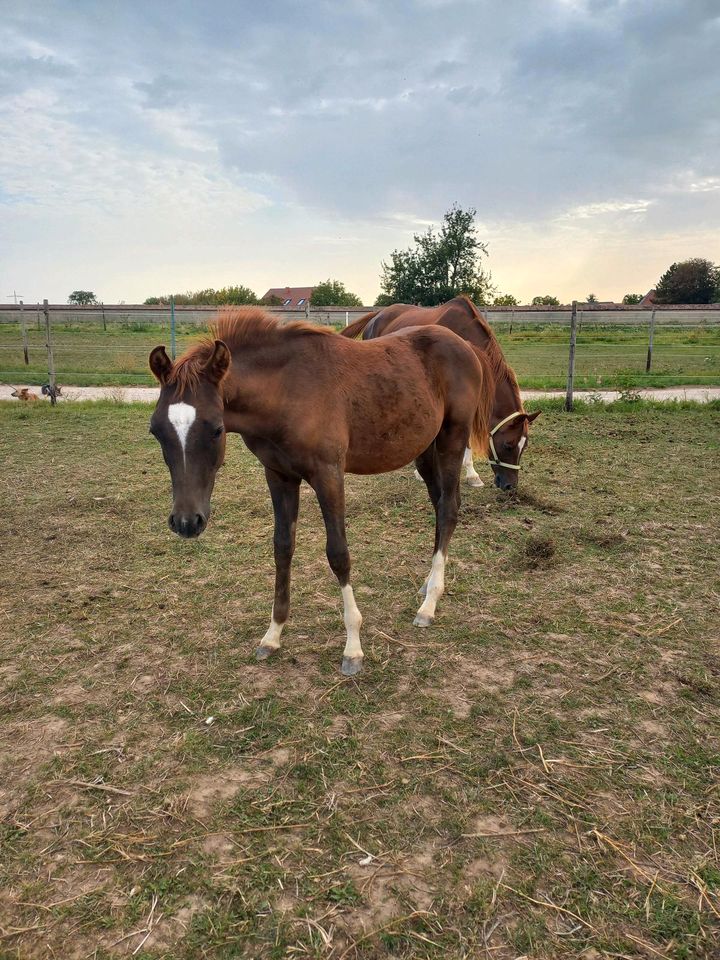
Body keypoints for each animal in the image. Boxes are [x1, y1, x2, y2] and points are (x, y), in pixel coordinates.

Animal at [149, 308, 492, 676]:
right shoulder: (279, 476)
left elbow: (338, 554)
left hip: (452, 438)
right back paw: (428, 583)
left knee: (449, 508)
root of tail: (465, 345)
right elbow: (282, 547)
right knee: (439, 505)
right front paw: (273, 634)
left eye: (216, 429)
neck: (286, 391)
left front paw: (353, 648)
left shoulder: (329, 474)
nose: (187, 522)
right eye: (155, 430)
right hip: (424, 447)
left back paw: (429, 604)